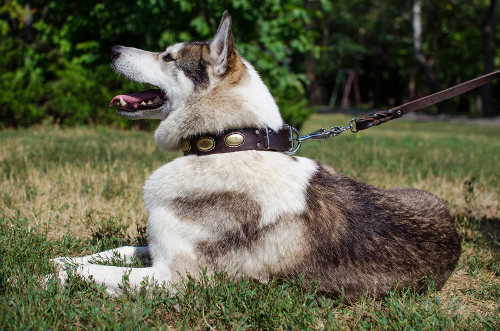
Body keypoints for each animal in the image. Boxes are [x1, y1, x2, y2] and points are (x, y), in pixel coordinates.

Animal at [51, 11, 460, 300]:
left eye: (167, 57)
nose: (113, 49)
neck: (225, 143)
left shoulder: (176, 278)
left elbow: (97, 273)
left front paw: (49, 276)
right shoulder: (157, 251)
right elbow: (118, 250)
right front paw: (63, 258)